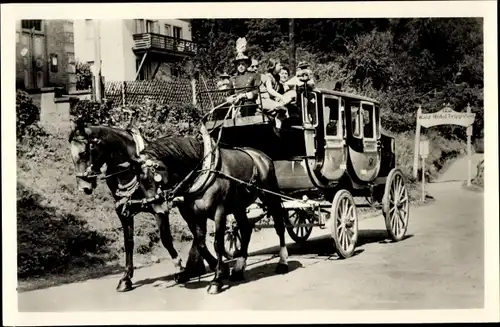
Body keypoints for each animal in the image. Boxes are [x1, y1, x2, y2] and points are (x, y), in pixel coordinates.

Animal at [70, 122, 290, 294]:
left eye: (83, 152)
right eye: (72, 156)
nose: (84, 187)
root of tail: (261, 154)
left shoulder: (213, 211)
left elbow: (187, 240)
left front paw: (208, 277)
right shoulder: (128, 211)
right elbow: (131, 243)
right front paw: (126, 279)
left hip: (270, 196)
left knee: (279, 225)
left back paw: (282, 262)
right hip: (238, 206)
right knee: (245, 228)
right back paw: (238, 267)